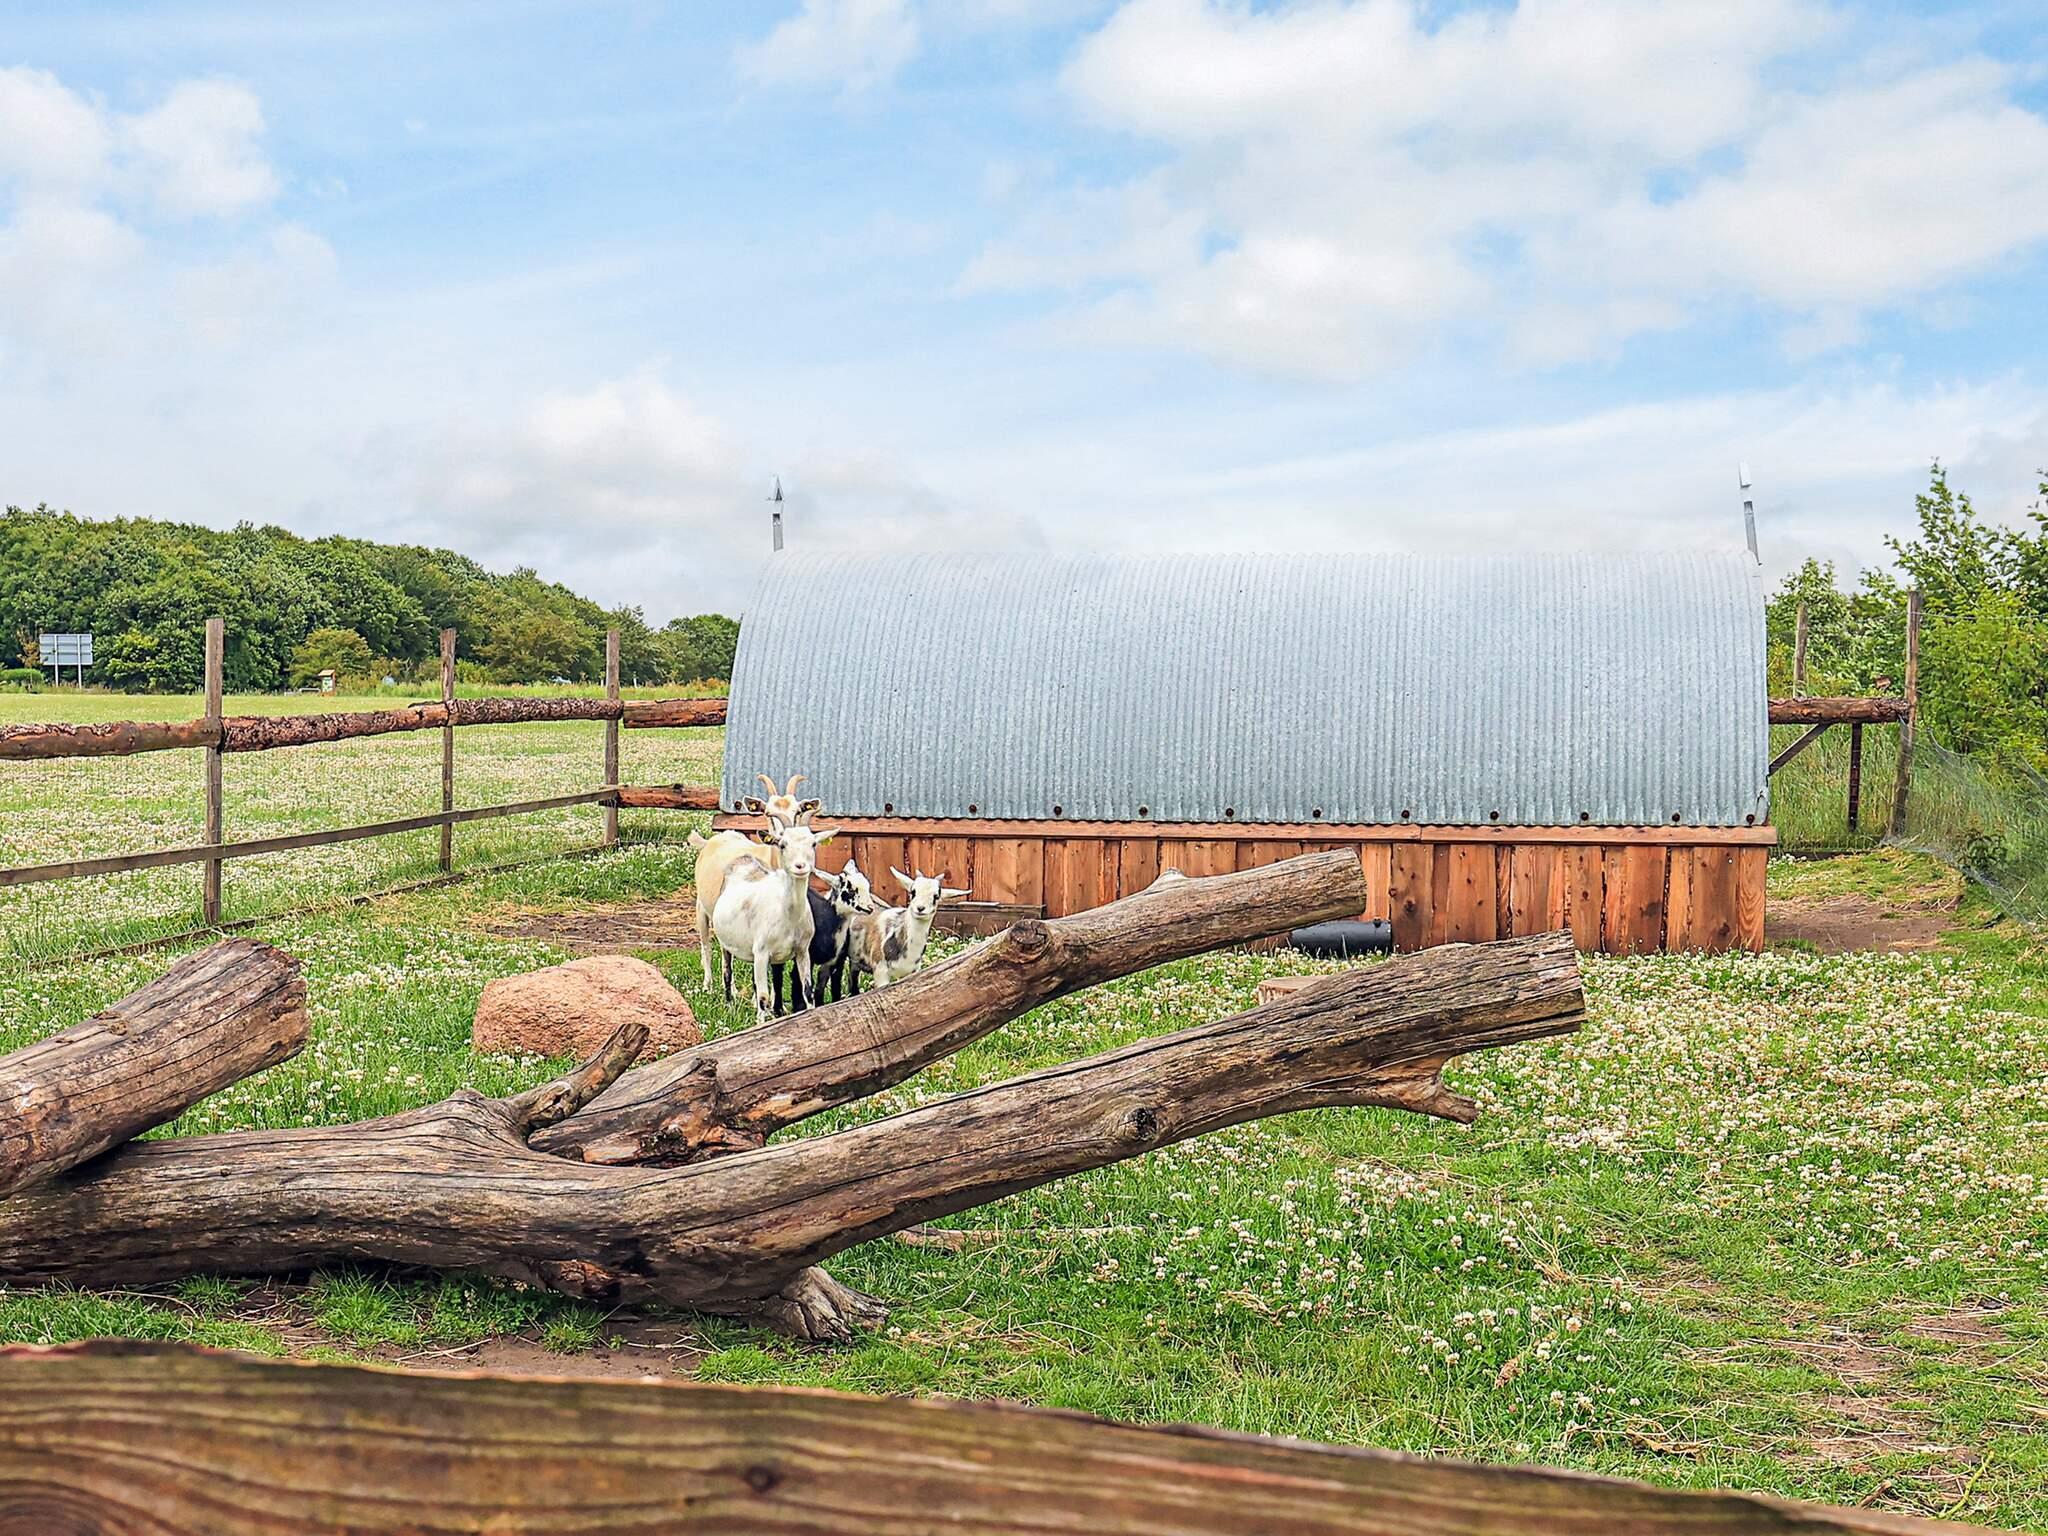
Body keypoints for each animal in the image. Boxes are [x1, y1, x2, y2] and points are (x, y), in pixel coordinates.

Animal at [707, 822, 836, 1023]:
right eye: (782, 845)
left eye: (814, 844)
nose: (800, 866)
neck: (788, 914)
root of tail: (744, 858)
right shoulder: (762, 952)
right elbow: (763, 997)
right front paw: (760, 1025)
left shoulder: (802, 951)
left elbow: (807, 991)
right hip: (725, 943)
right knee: (727, 971)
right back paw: (729, 1006)